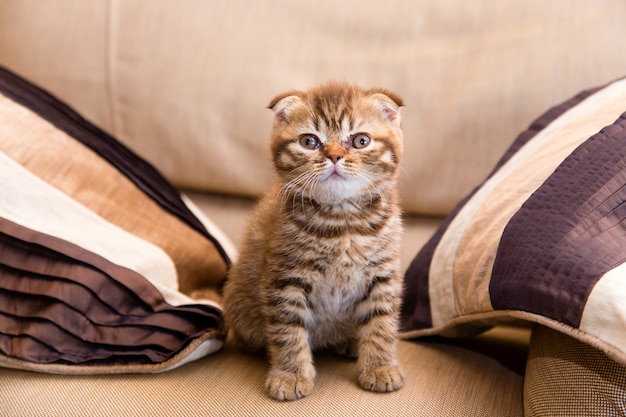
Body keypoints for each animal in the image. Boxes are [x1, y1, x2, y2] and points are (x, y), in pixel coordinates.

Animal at [221, 82, 404, 400]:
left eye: (360, 141)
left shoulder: (383, 275)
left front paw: (381, 367)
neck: (342, 222)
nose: (334, 156)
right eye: (309, 141)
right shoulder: (285, 278)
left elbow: (381, 323)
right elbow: (287, 328)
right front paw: (290, 374)